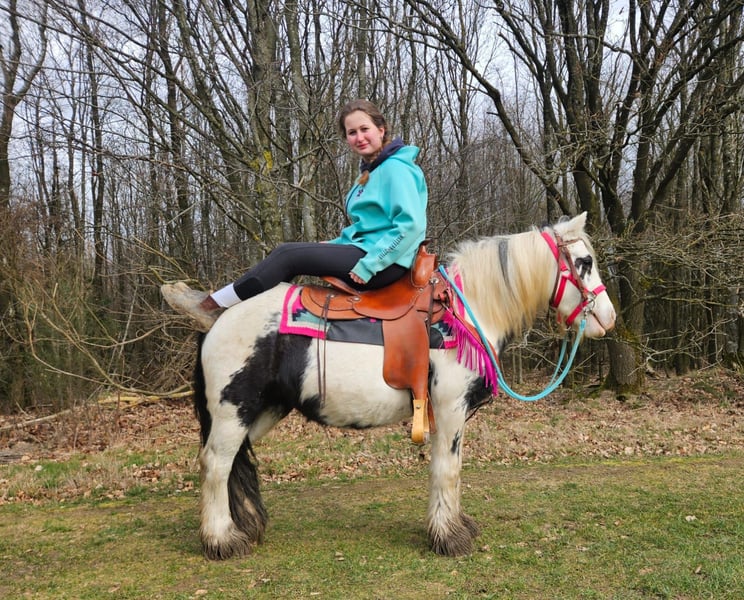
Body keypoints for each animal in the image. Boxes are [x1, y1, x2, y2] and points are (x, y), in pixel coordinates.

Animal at [192, 212, 616, 560]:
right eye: (585, 263)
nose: (609, 317)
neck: (466, 314)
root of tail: (216, 323)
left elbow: (451, 469)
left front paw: (455, 526)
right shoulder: (450, 408)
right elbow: (447, 469)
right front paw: (449, 538)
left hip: (263, 410)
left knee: (234, 462)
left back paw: (243, 526)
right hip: (234, 409)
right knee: (216, 463)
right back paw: (221, 540)